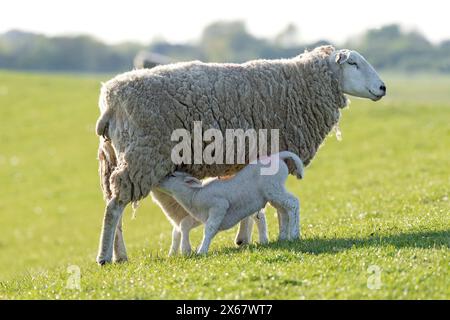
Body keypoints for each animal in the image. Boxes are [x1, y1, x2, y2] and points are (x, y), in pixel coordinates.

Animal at [156, 152, 304, 255]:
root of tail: (278, 157)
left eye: (173, 175)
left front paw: (202, 251)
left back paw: (294, 235)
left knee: (293, 203)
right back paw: (282, 237)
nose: (158, 180)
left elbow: (209, 229)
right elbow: (206, 229)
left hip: (274, 188)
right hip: (272, 194)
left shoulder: (219, 206)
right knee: (284, 211)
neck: (194, 195)